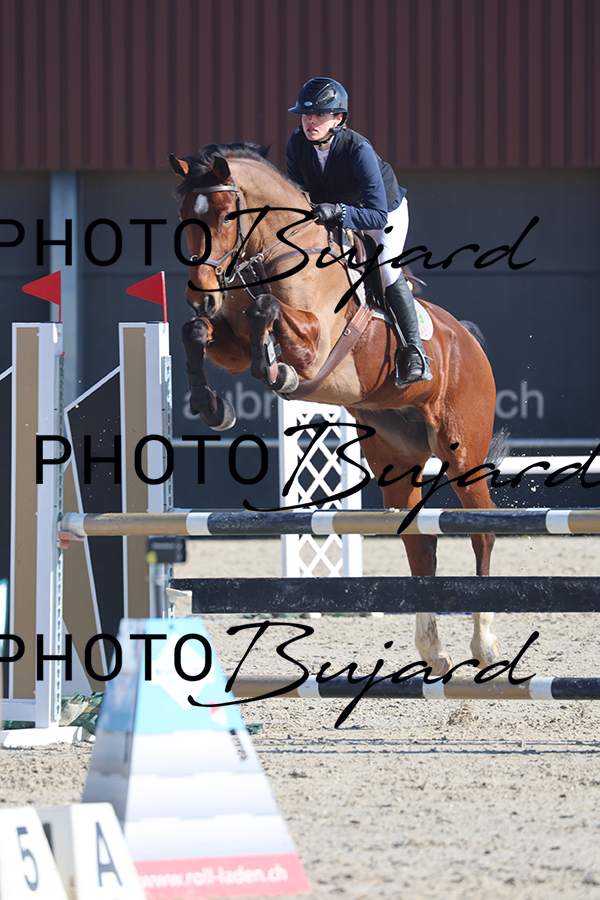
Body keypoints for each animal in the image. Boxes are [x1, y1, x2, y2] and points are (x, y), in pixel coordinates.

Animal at [169, 142, 501, 676]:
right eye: (184, 216)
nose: (200, 295)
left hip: (463, 452)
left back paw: (484, 644)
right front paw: (212, 405)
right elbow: (197, 332)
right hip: (396, 459)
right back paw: (433, 651)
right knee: (419, 543)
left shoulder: (315, 341)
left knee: (482, 533)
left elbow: (267, 312)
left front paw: (276, 371)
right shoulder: (229, 341)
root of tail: (468, 342)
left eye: (224, 215)